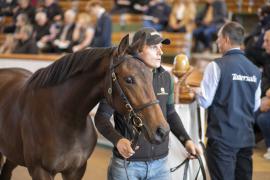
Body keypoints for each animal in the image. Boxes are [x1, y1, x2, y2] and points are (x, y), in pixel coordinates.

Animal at [0, 34, 170, 179]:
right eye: (129, 79)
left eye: (149, 76)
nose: (162, 131)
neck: (61, 118)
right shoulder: (40, 170)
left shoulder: (76, 170)